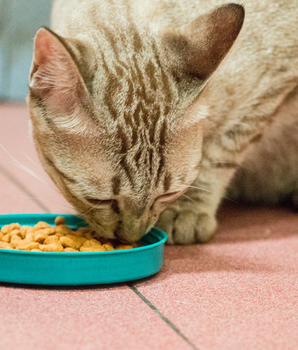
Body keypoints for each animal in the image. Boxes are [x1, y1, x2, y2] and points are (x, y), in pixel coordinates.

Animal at [26, 0, 298, 245]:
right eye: (98, 201)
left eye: (168, 194)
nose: (131, 238)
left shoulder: (269, 90)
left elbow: (219, 157)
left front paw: (187, 211)